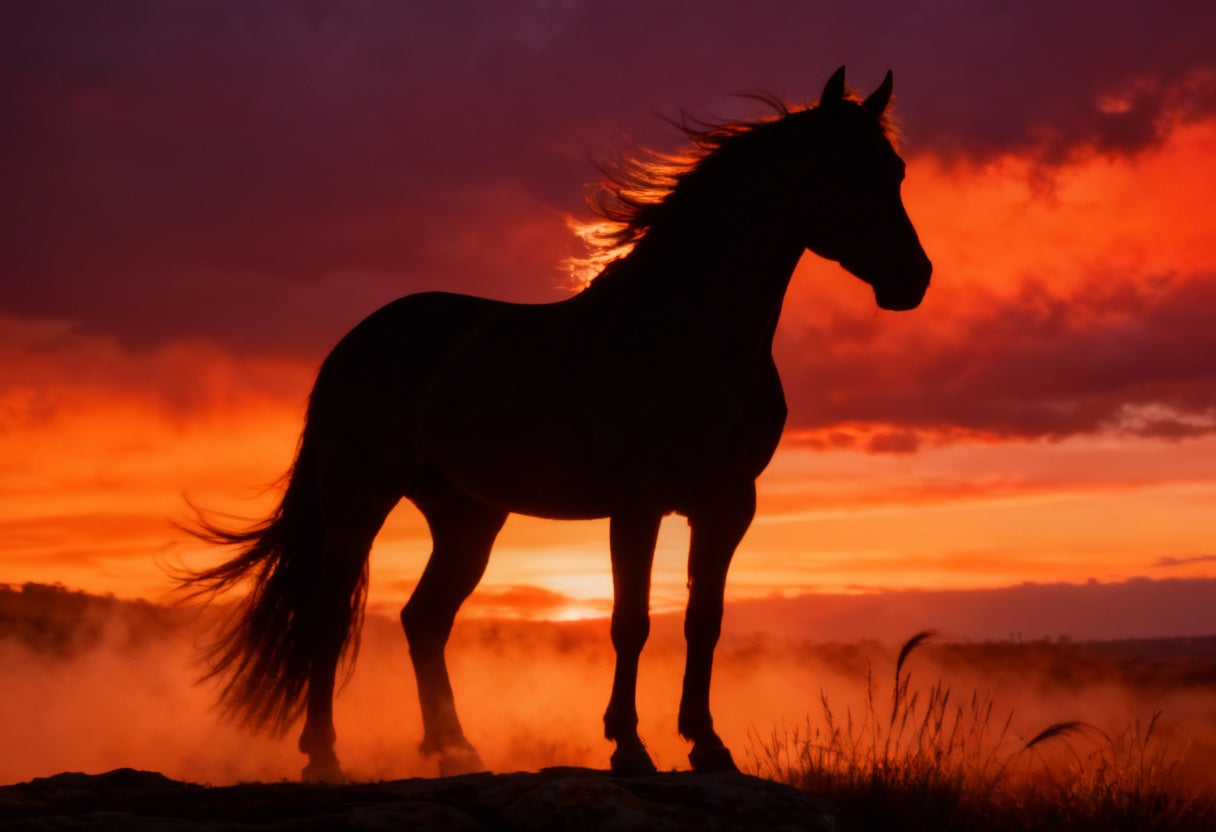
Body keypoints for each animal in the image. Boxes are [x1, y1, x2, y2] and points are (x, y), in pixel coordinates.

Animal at [179, 66, 932, 783]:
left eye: (895, 171)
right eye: (842, 170)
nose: (915, 278)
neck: (688, 334)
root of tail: (357, 342)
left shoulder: (726, 506)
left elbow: (704, 622)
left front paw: (708, 745)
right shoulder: (638, 504)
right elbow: (631, 622)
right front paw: (629, 747)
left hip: (468, 517)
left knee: (424, 619)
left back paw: (455, 749)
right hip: (359, 497)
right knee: (331, 613)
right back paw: (325, 755)